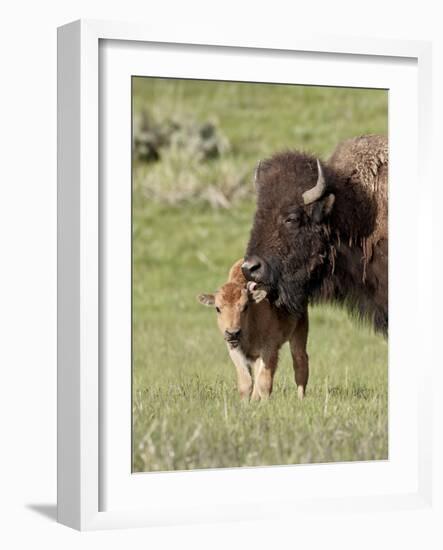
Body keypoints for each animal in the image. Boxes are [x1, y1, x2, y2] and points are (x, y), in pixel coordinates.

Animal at [199, 260, 310, 398]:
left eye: (245, 306)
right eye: (217, 308)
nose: (233, 333)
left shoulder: (269, 349)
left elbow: (264, 382)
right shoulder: (235, 350)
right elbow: (246, 382)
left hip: (299, 331)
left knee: (300, 363)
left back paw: (300, 398)